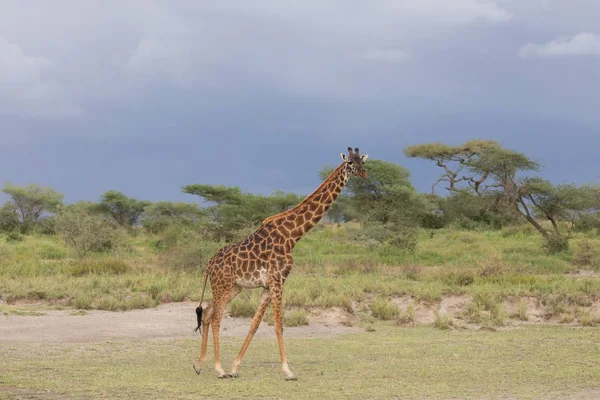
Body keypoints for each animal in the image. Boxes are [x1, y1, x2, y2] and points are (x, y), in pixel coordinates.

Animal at [195, 146, 368, 378]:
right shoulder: (278, 281)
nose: (363, 174)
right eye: (349, 162)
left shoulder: (268, 285)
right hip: (222, 285)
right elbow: (279, 325)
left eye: (362, 162)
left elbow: (255, 324)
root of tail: (209, 265)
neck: (292, 235)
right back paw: (218, 368)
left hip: (233, 287)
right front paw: (287, 370)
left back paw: (199, 365)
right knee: (215, 318)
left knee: (206, 313)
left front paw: (235, 367)